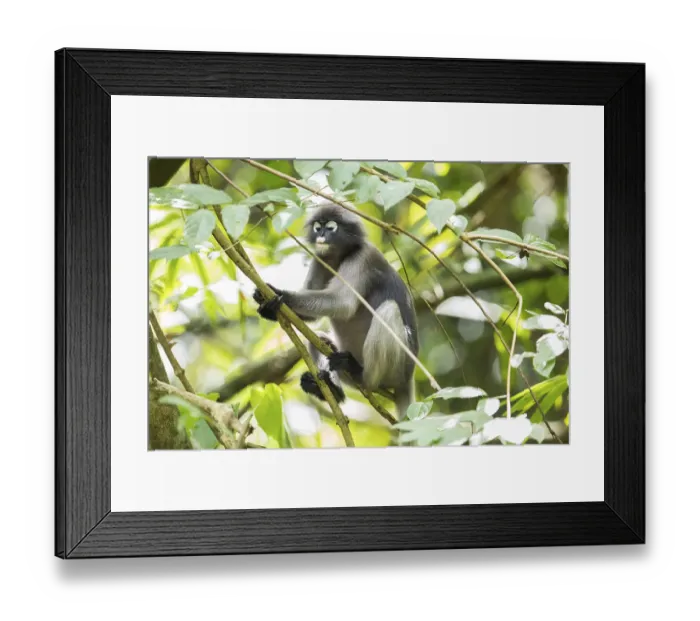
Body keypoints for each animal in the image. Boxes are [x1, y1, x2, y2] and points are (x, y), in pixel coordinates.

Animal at [252, 202, 418, 420]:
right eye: (318, 227)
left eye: (331, 227)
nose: (322, 235)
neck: (339, 256)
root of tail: (408, 379)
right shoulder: (320, 258)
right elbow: (312, 317)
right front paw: (268, 307)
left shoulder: (363, 258)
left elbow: (343, 304)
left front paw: (279, 294)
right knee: (319, 339)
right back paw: (332, 391)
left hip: (398, 369)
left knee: (389, 310)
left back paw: (360, 373)